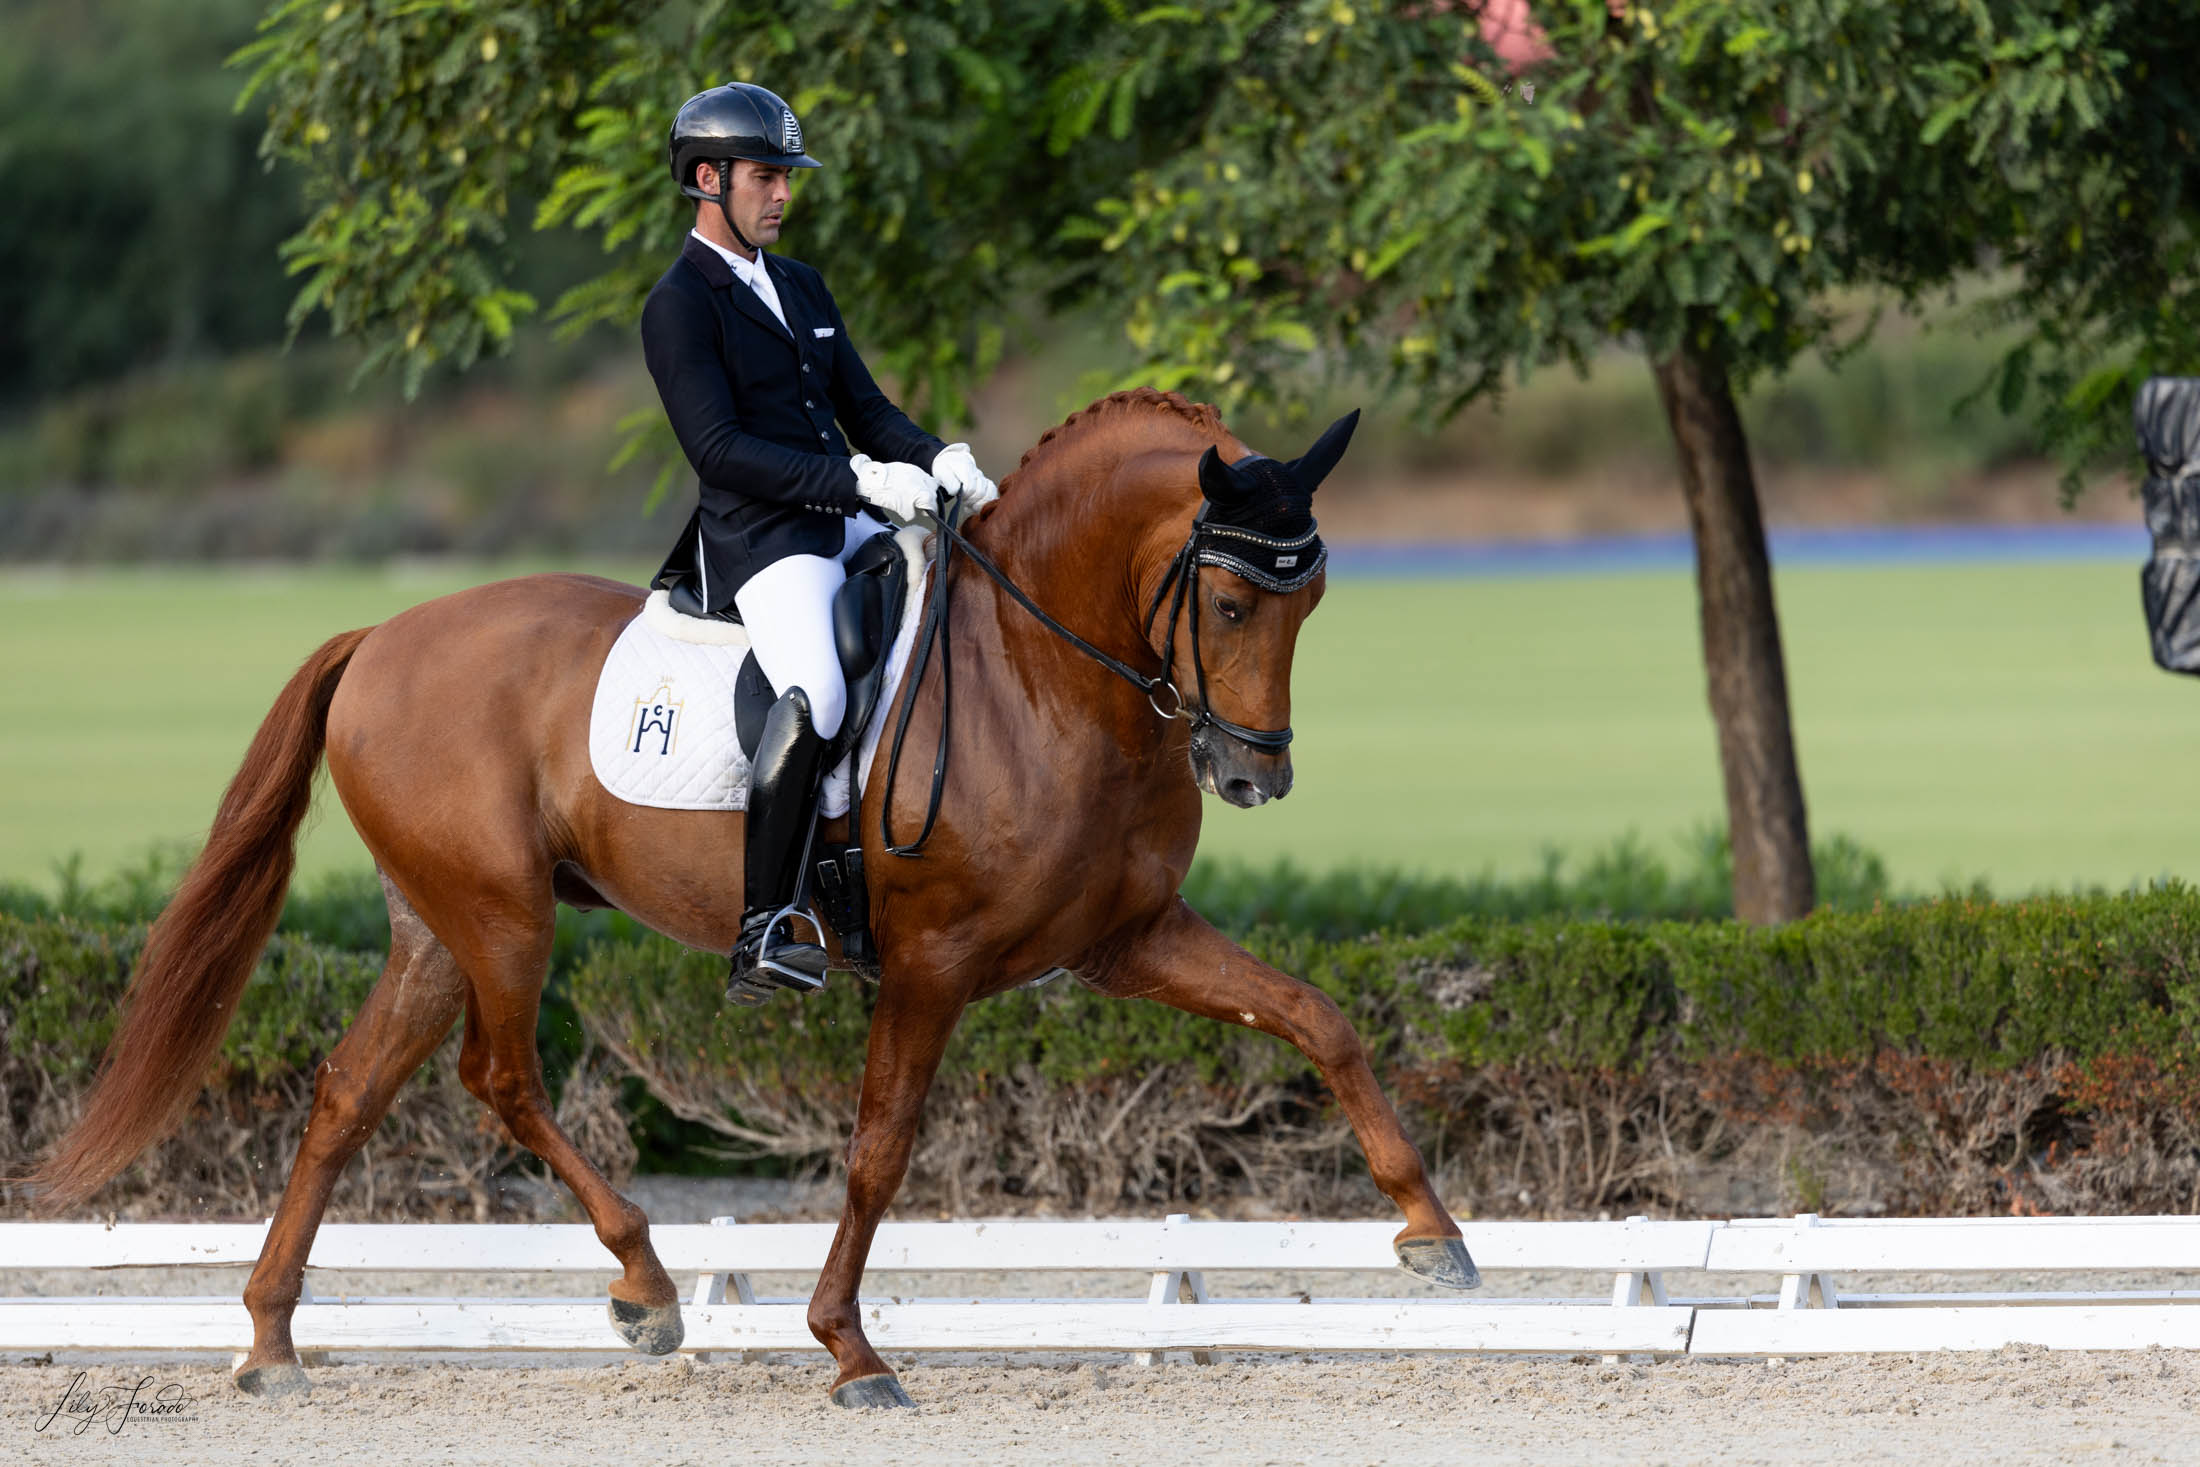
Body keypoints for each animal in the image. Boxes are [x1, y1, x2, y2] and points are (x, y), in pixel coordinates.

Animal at [25, 389, 1469, 1407]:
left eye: (1311, 599)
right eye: (1228, 602)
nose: (1252, 774)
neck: (1042, 674)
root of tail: (379, 635)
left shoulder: (1126, 938)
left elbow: (1318, 1018)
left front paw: (1432, 1234)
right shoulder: (935, 961)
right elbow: (880, 1148)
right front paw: (850, 1350)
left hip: (436, 925)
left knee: (348, 1091)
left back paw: (271, 1340)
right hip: (503, 917)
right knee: (499, 1075)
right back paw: (648, 1281)